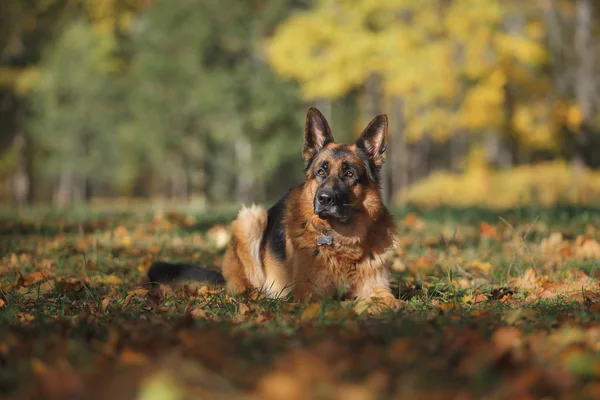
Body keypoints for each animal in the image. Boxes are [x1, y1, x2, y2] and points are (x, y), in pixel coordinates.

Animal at [146, 108, 398, 310]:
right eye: (321, 171)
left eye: (349, 174)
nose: (324, 199)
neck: (342, 242)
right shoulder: (309, 294)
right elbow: (342, 302)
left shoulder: (377, 286)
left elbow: (389, 299)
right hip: (251, 218)